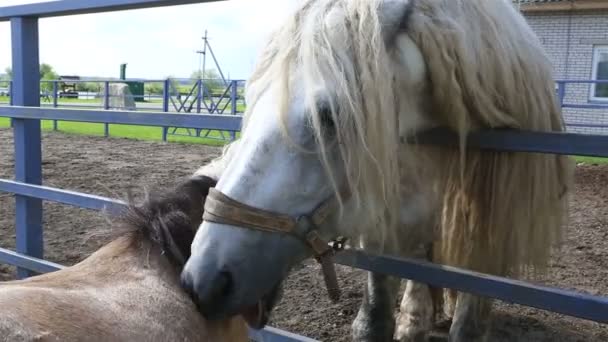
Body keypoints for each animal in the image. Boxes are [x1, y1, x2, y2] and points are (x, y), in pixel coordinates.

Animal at [179, 1, 568, 340]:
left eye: (328, 117)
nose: (202, 281)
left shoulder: (489, 244)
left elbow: (468, 327)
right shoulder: (386, 228)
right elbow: (374, 321)